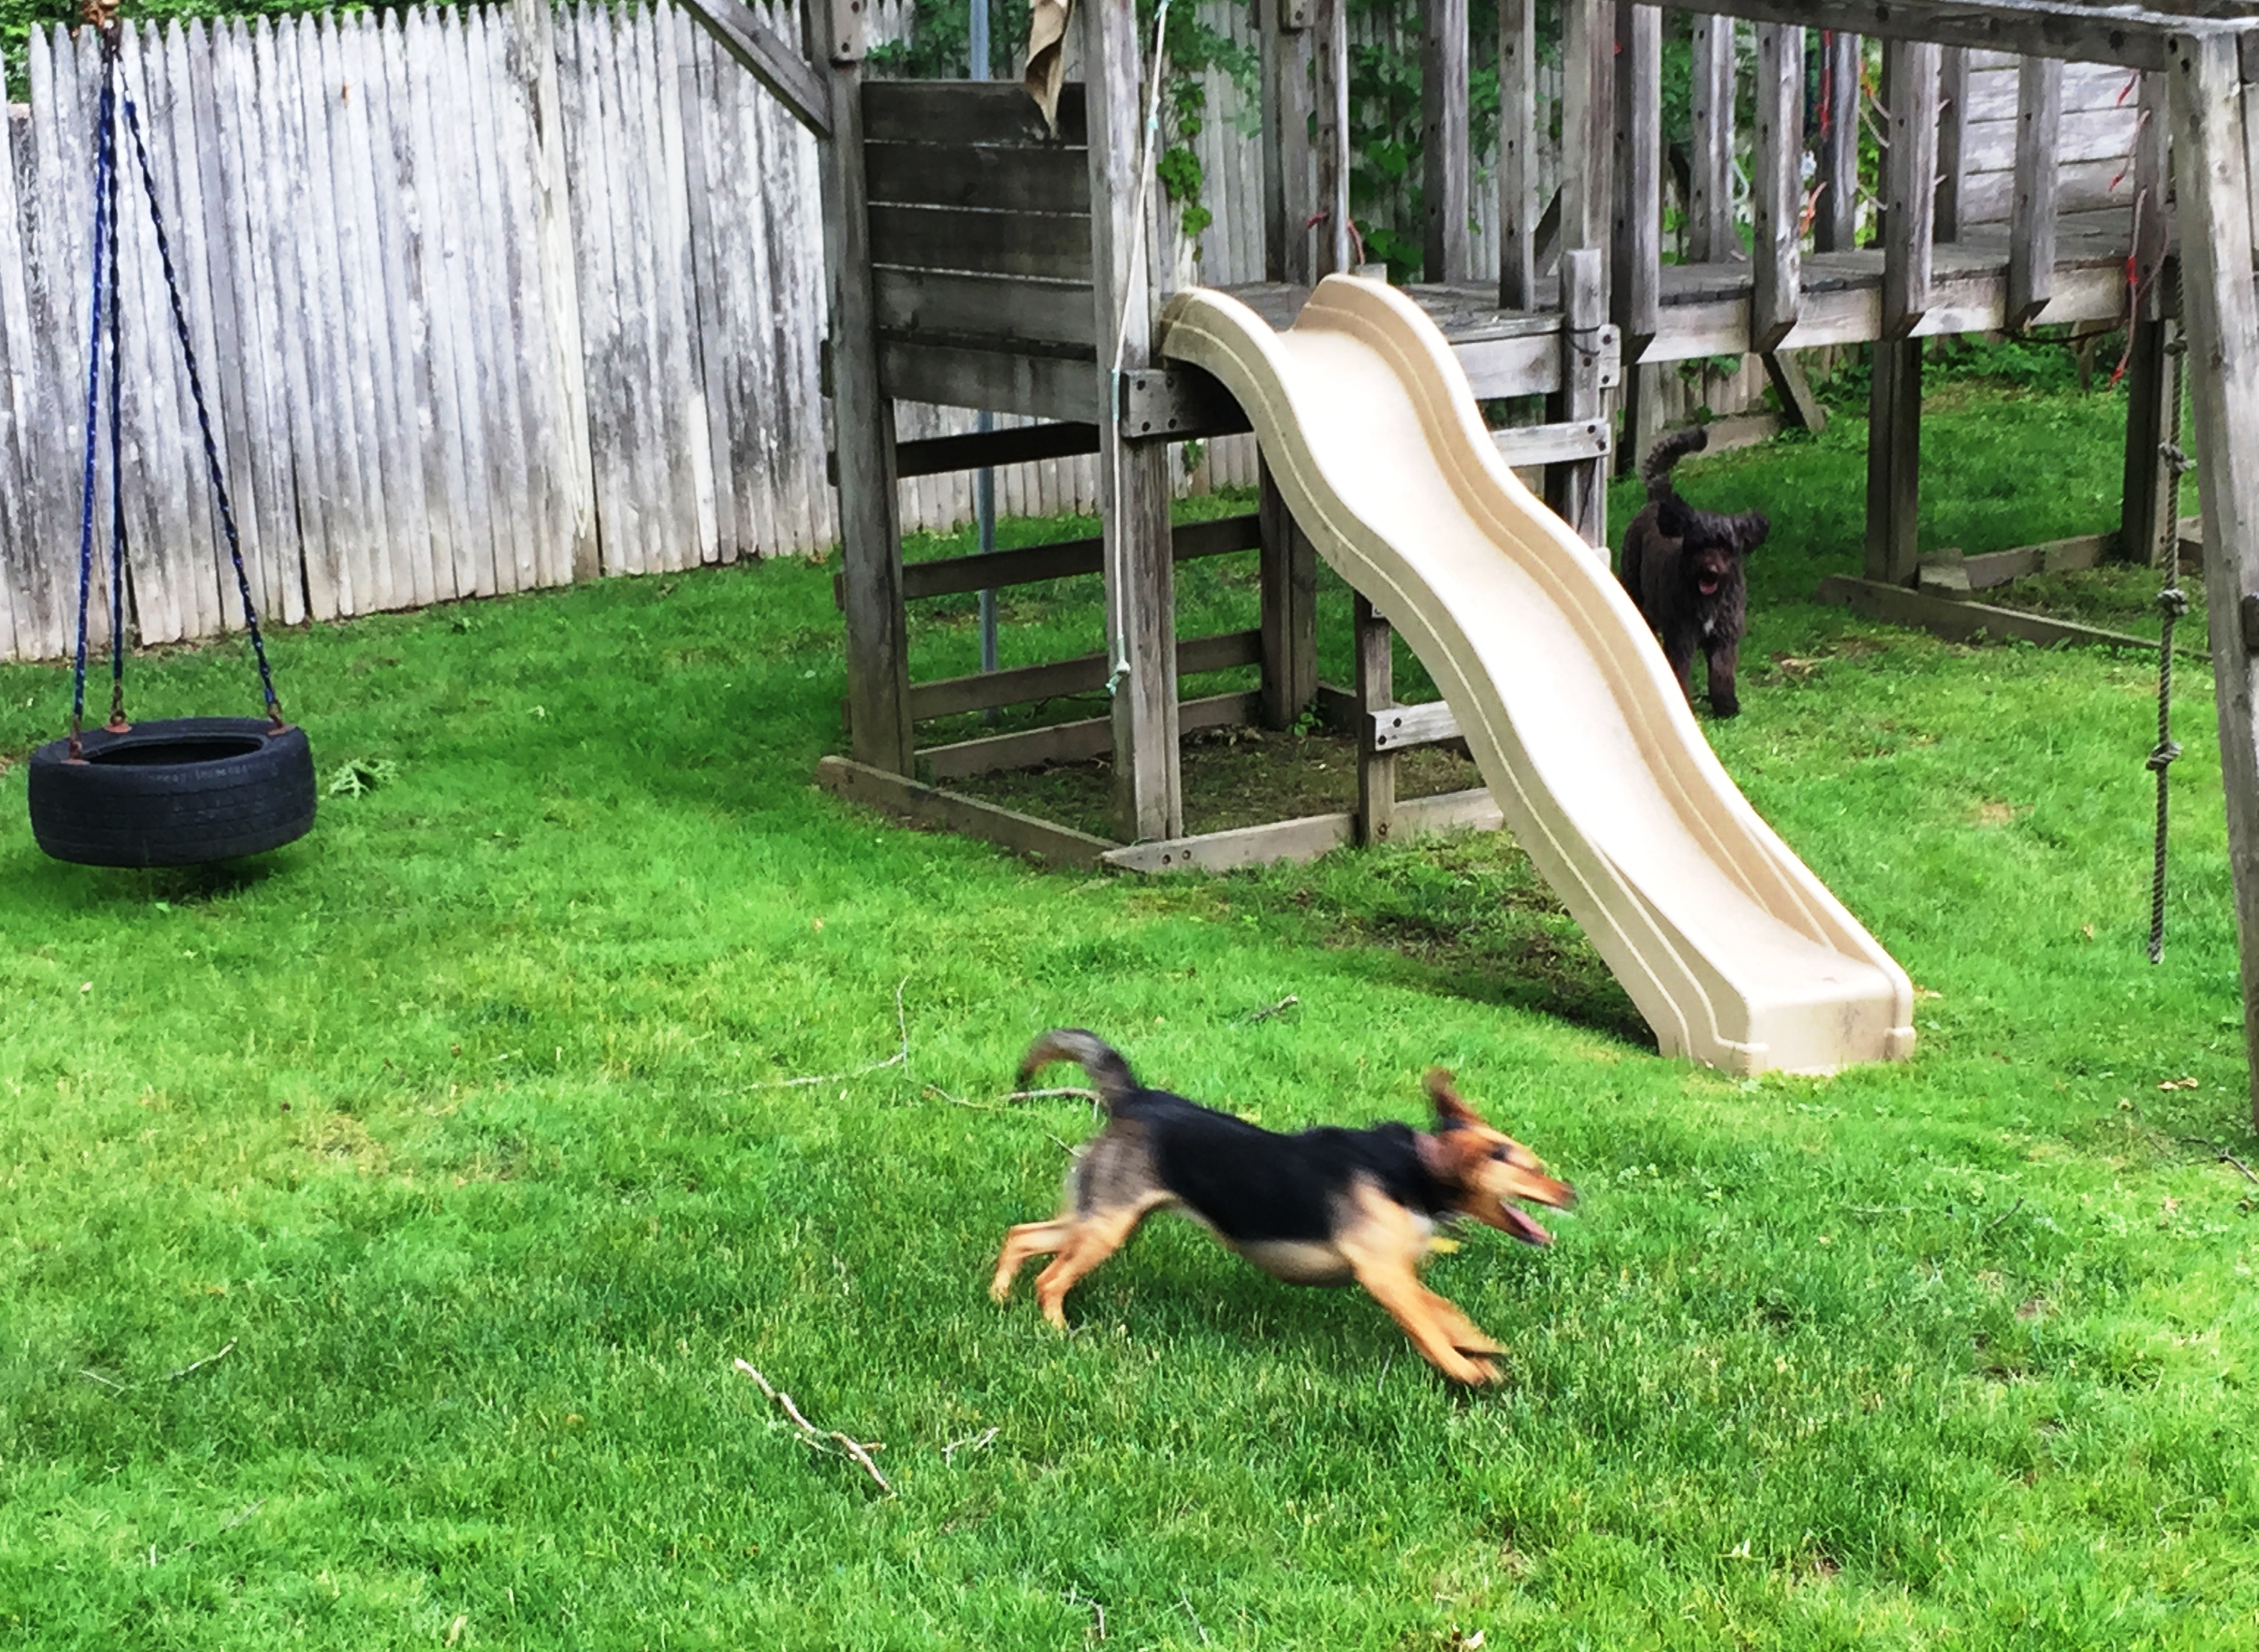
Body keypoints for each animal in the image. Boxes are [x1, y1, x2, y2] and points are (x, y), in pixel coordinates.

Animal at [989, 1026, 1572, 1392]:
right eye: (1530, 1168)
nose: (1572, 1194)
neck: (1412, 1169)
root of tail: (1135, 1097)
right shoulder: (1384, 1275)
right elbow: (1428, 1326)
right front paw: (1466, 1371)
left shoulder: (1398, 1271)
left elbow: (1443, 1310)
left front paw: (1478, 1345)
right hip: (1105, 1227)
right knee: (1050, 1279)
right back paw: (1058, 1331)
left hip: (1103, 1218)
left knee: (1022, 1234)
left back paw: (998, 1296)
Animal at [1626, 427, 1762, 718]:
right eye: (1698, 544)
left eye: (1726, 547)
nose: (1709, 569)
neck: (1709, 598)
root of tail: (1658, 501)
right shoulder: (1682, 637)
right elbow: (1679, 671)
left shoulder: (1725, 637)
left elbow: (1722, 673)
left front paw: (1726, 706)